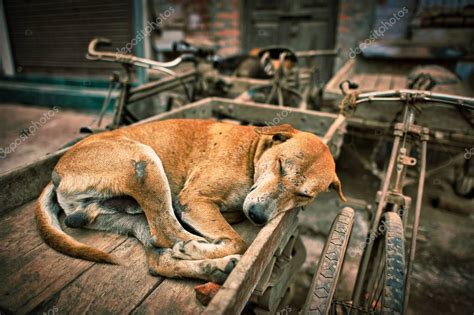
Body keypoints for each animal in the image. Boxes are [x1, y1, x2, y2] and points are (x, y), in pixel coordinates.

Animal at [35, 119, 342, 284]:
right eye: (280, 165)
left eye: (304, 195)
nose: (257, 216)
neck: (253, 152)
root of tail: (56, 171)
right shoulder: (194, 200)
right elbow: (238, 240)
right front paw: (201, 248)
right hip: (144, 161)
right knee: (168, 233)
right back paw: (199, 252)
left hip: (129, 215)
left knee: (158, 253)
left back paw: (212, 267)